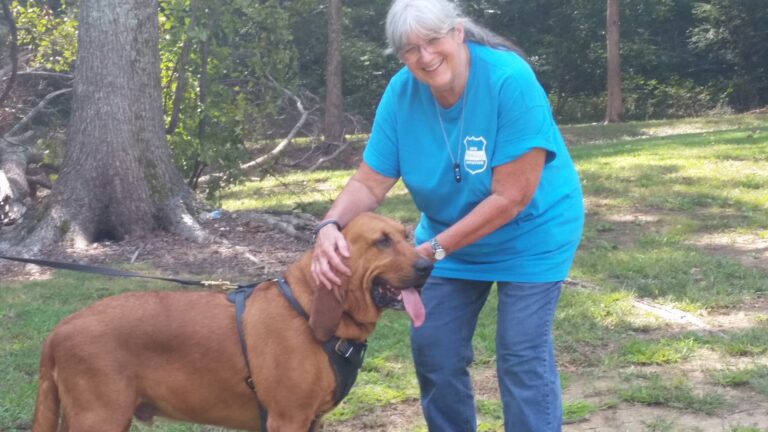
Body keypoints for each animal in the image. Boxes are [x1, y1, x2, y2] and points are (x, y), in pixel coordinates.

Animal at [30, 213, 432, 432]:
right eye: (382, 242)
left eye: (405, 236)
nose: (428, 265)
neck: (306, 309)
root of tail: (58, 330)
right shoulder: (287, 419)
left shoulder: (312, 420)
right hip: (99, 418)